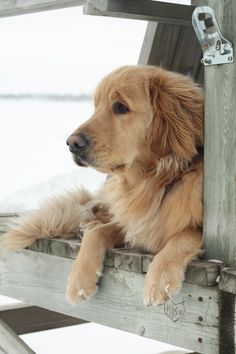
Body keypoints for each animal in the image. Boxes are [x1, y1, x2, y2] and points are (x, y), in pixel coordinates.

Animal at [2, 65, 204, 304]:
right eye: (96, 106)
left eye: (120, 107)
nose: (72, 143)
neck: (155, 182)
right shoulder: (131, 224)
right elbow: (98, 233)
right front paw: (79, 280)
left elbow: (184, 235)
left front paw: (159, 280)